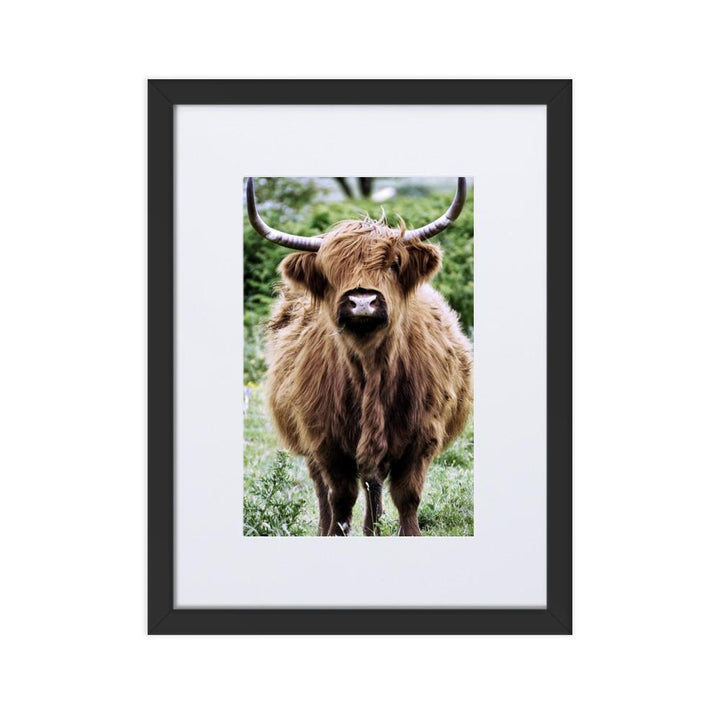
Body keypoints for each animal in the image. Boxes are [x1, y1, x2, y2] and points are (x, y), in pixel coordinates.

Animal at [246, 177, 473, 536]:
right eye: (330, 270)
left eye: (393, 264)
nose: (362, 301)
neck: (371, 369)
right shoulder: (325, 441)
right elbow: (340, 497)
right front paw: (334, 532)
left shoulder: (422, 438)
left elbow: (407, 496)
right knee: (325, 489)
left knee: (373, 483)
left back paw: (372, 528)